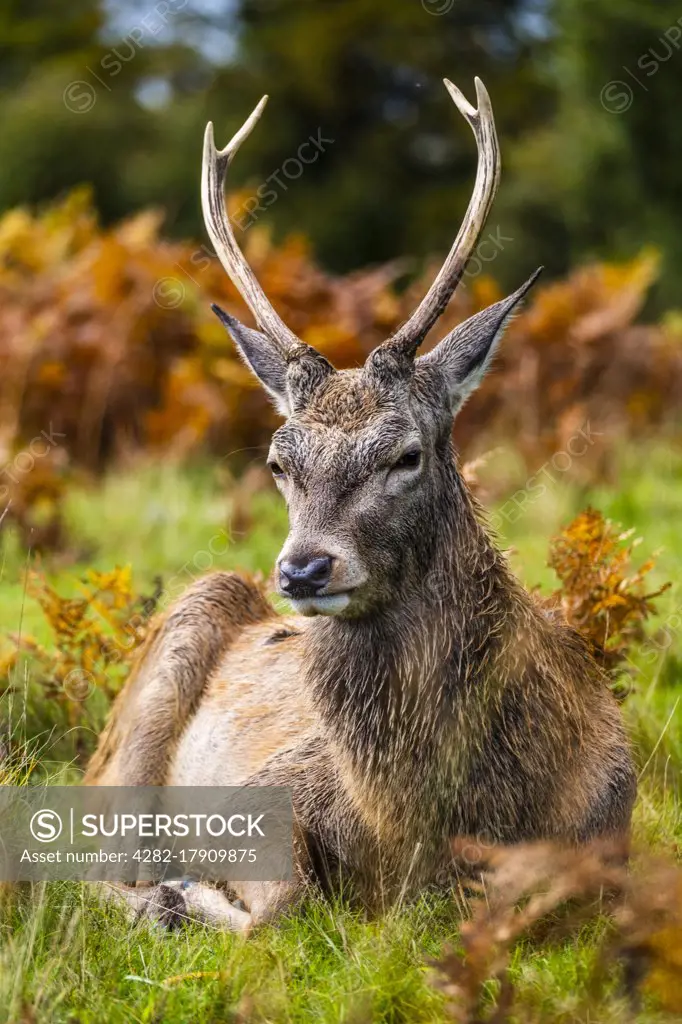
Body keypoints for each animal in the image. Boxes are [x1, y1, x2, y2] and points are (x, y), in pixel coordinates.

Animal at [83, 75, 630, 933]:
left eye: (405, 454)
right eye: (279, 462)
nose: (304, 570)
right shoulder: (263, 793)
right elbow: (286, 903)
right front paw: (184, 897)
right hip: (146, 704)